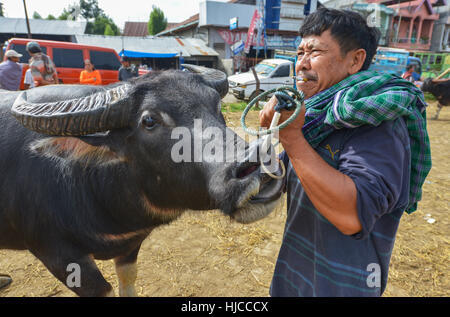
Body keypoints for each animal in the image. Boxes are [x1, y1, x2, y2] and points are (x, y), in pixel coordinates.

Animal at [0, 65, 282, 296]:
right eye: (149, 120)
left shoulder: (130, 247)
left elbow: (128, 281)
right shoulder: (58, 256)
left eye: (216, 106)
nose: (256, 167)